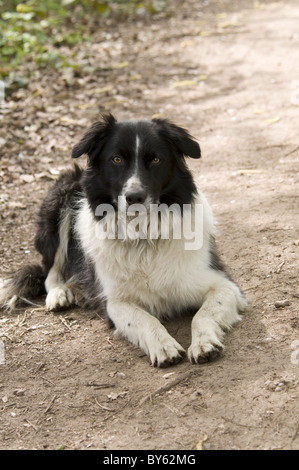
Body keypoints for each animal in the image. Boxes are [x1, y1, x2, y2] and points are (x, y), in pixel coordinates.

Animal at [0, 114, 248, 368]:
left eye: (156, 159)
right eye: (117, 159)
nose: (134, 197)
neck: (142, 237)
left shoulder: (224, 284)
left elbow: (203, 314)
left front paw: (204, 343)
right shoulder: (116, 303)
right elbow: (144, 319)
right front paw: (163, 346)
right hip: (59, 200)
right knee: (50, 270)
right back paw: (60, 294)